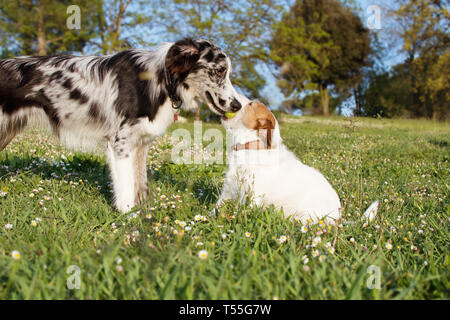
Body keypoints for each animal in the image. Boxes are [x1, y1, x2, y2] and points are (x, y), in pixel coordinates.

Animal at [217, 101, 376, 224]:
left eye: (250, 104)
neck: (250, 146)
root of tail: (338, 218)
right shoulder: (228, 189)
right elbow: (217, 208)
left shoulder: (254, 194)